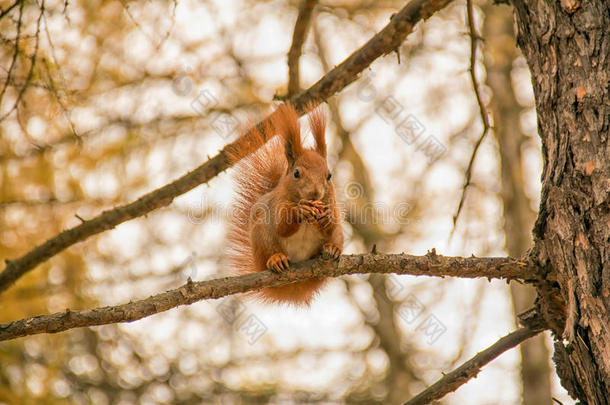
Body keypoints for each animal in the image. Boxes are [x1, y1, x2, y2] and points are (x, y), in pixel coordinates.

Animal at [227, 102, 342, 304]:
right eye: (296, 173)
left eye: (329, 175)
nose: (315, 193)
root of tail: (295, 286)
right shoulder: (276, 204)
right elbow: (281, 225)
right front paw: (300, 211)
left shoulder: (333, 204)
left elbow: (330, 224)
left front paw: (326, 218)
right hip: (261, 236)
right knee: (269, 252)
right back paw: (276, 259)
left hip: (339, 234)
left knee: (334, 237)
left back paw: (333, 249)